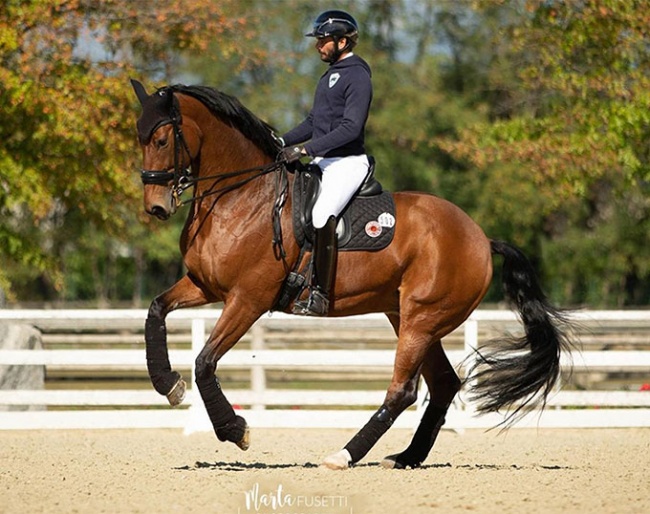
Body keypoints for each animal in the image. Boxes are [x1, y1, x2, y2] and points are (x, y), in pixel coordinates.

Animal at [130, 79, 568, 468]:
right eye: (140, 139)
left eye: (162, 140)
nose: (156, 207)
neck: (241, 198)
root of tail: (480, 237)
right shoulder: (205, 286)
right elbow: (156, 310)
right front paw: (168, 384)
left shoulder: (248, 299)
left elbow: (205, 361)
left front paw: (235, 430)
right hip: (409, 317)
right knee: (443, 383)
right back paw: (407, 458)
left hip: (422, 319)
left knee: (403, 391)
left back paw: (344, 455)